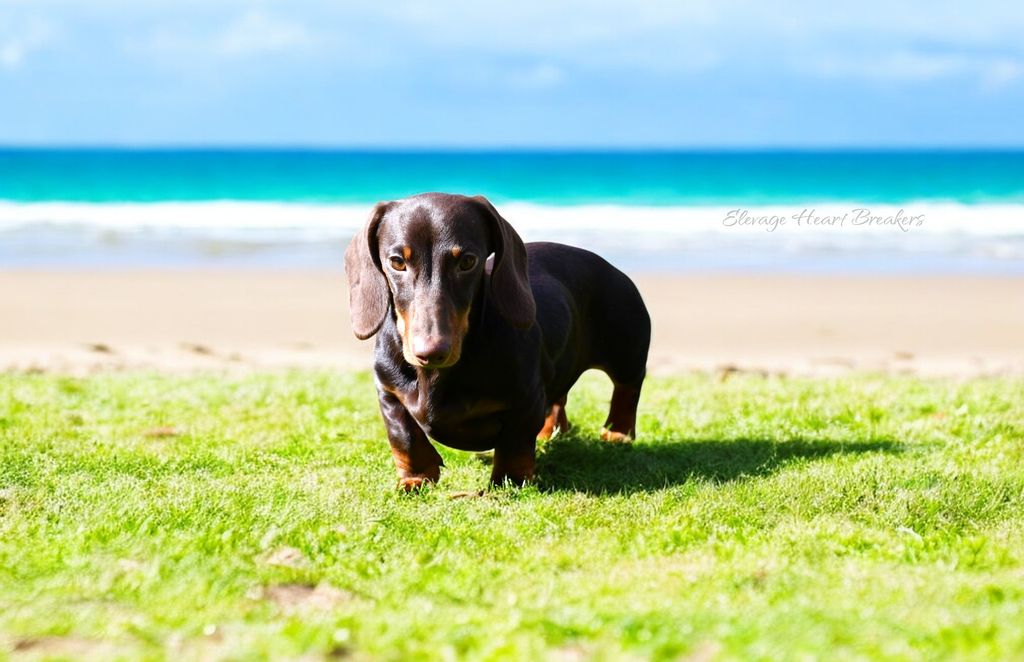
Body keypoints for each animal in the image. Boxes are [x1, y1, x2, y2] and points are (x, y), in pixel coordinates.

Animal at [344, 189, 647, 489]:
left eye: (467, 261)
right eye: (397, 262)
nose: (431, 353)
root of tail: (608, 265)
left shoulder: (526, 398)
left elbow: (514, 444)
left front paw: (509, 481)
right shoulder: (388, 392)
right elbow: (404, 437)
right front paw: (415, 479)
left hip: (626, 352)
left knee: (627, 389)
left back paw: (617, 434)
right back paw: (549, 432)